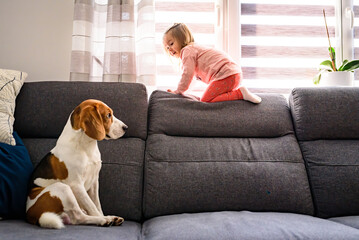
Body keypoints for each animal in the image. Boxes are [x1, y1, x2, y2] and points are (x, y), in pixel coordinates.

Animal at [25, 99, 127, 229]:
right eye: (108, 115)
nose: (126, 127)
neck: (86, 147)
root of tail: (29, 215)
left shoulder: (94, 182)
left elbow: (97, 205)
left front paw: (103, 215)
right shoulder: (77, 185)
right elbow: (92, 206)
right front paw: (102, 217)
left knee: (75, 218)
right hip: (62, 188)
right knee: (79, 217)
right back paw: (104, 220)